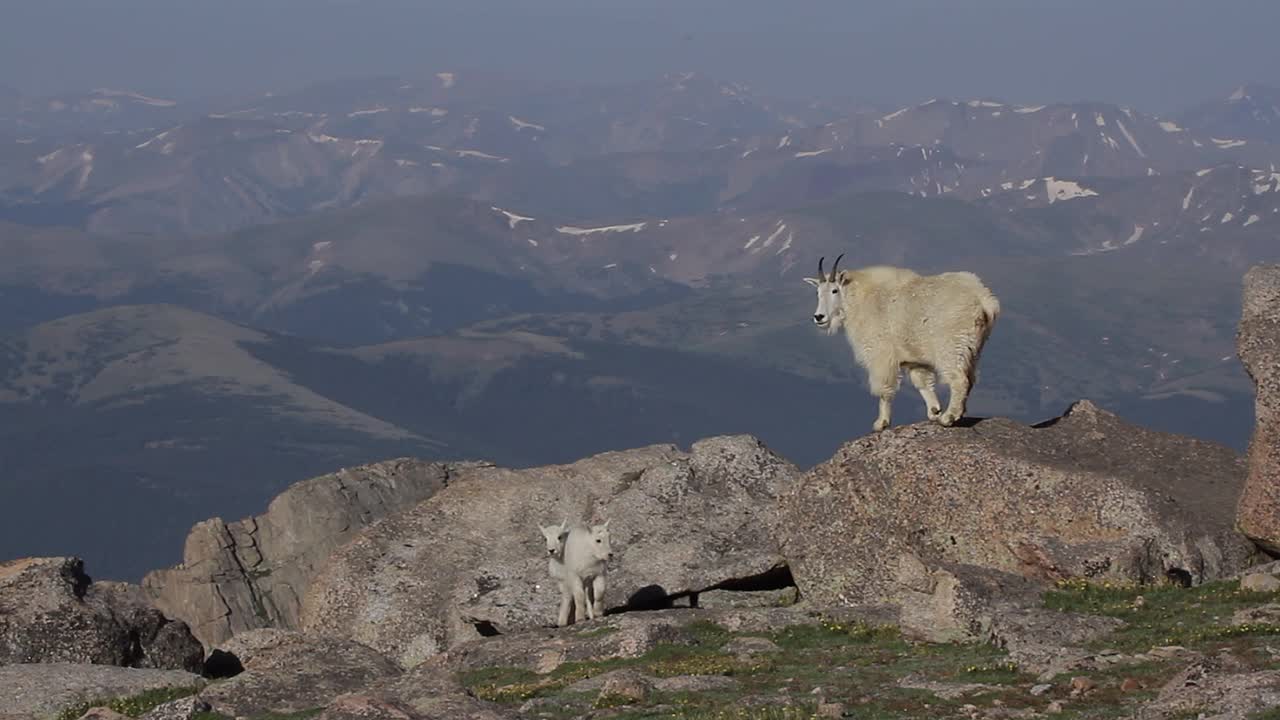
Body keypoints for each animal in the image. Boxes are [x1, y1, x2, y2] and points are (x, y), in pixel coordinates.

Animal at [798, 253, 998, 427]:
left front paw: (881, 423)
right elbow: (922, 383)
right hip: (972, 348)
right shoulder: (914, 359)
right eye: (817, 292)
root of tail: (984, 300)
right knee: (970, 378)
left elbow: (884, 389)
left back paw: (949, 417)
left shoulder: (880, 354)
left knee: (959, 379)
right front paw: (934, 411)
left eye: (834, 290)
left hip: (951, 346)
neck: (858, 299)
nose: (819, 317)